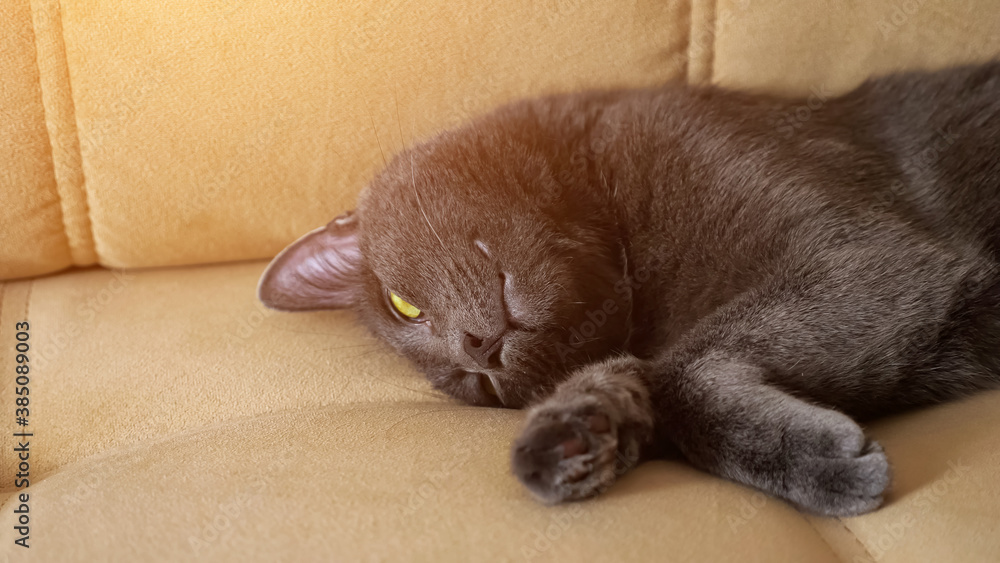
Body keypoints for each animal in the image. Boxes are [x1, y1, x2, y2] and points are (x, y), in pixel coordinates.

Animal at [260, 61, 1000, 516]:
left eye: (403, 304)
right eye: (472, 391)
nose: (478, 355)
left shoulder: (866, 252)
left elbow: (683, 367)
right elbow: (649, 371)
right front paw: (572, 436)